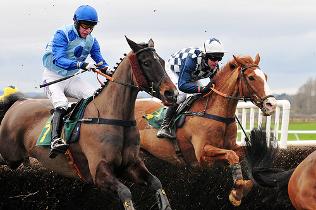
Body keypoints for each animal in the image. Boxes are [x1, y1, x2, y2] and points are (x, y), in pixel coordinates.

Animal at [0, 37, 179, 210]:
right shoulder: (99, 173)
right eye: (146, 62)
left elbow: (157, 183)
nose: (172, 94)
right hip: (11, 156)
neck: (113, 117)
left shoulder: (131, 164)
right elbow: (125, 192)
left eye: (162, 61)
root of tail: (18, 102)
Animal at [135, 54, 276, 207]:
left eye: (266, 76)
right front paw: (236, 192)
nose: (271, 105)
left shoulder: (231, 146)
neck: (217, 113)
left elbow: (239, 153)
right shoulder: (202, 156)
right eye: (251, 77)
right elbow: (232, 155)